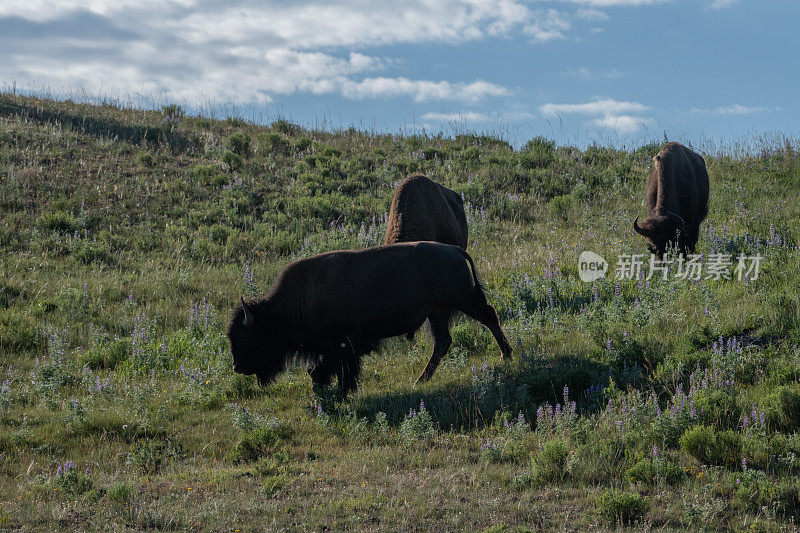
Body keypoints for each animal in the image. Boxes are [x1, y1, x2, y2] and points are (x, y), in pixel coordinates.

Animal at [225, 241, 512, 394]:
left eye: (244, 337)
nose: (237, 367)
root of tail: (454, 250)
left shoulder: (342, 346)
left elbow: (339, 369)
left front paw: (340, 392)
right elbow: (319, 368)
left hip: (464, 301)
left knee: (489, 317)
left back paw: (506, 355)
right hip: (437, 312)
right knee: (443, 341)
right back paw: (421, 379)